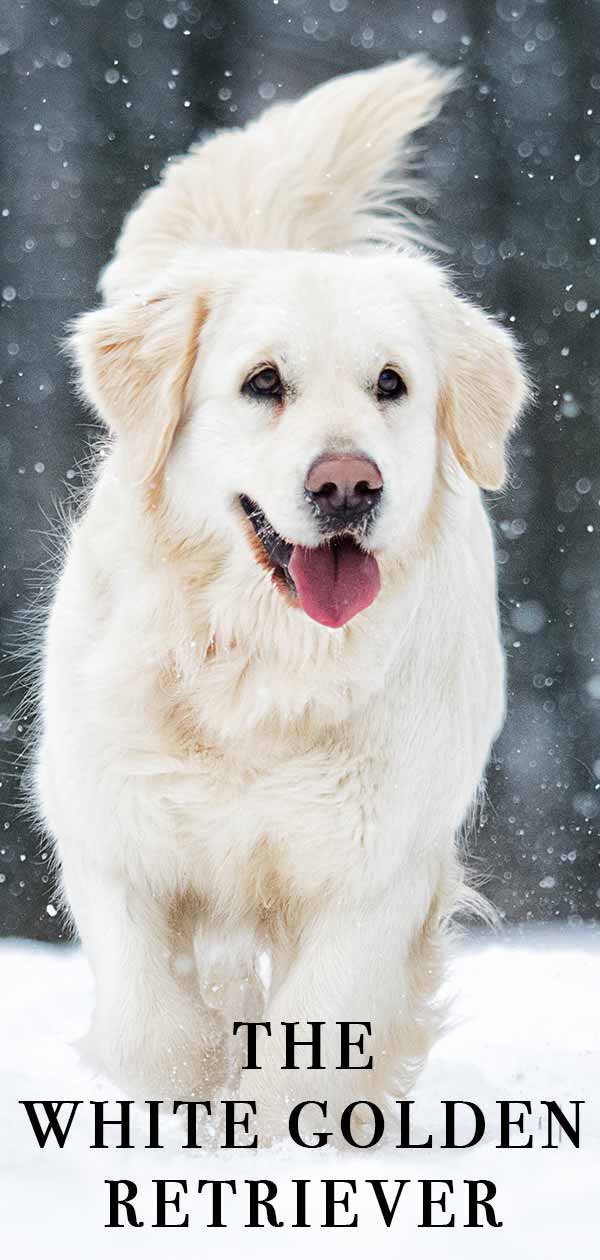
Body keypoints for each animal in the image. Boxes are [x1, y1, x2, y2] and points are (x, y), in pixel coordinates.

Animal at [35, 59, 526, 1139]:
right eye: (264, 382)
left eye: (391, 384)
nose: (348, 485)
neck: (262, 667)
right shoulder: (112, 830)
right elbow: (153, 1026)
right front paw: (187, 1112)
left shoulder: (374, 872)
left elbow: (317, 1042)